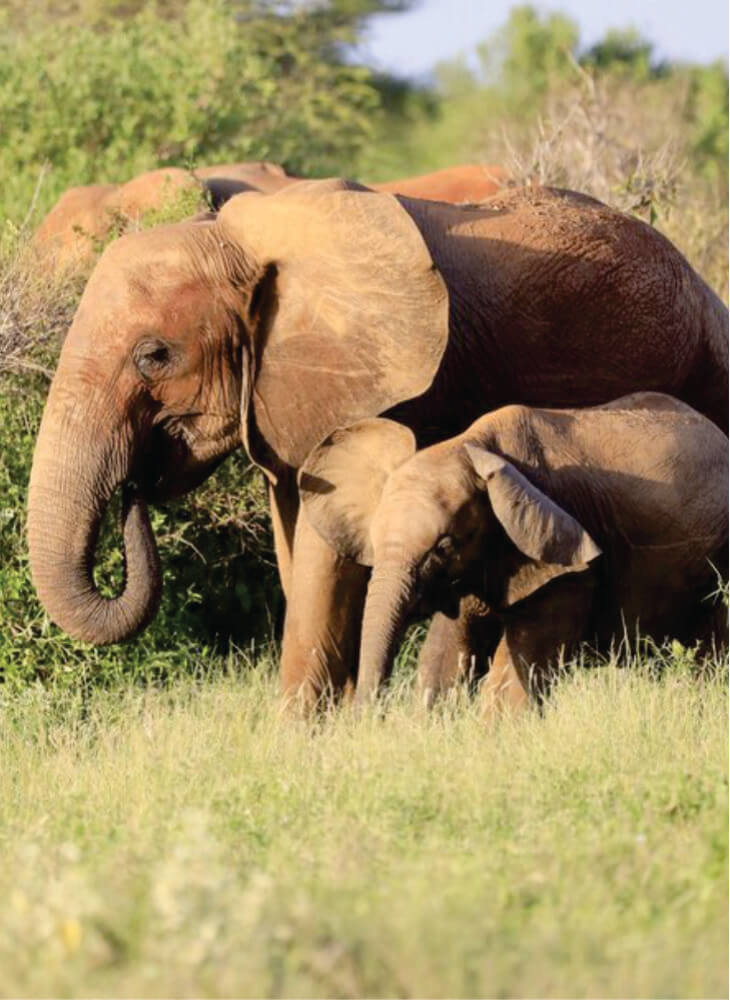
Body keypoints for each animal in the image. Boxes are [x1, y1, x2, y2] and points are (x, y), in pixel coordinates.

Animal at [298, 390, 728, 712]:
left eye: (444, 547)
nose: (367, 716)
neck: (469, 445)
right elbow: (447, 653)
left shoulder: (564, 558)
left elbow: (517, 665)